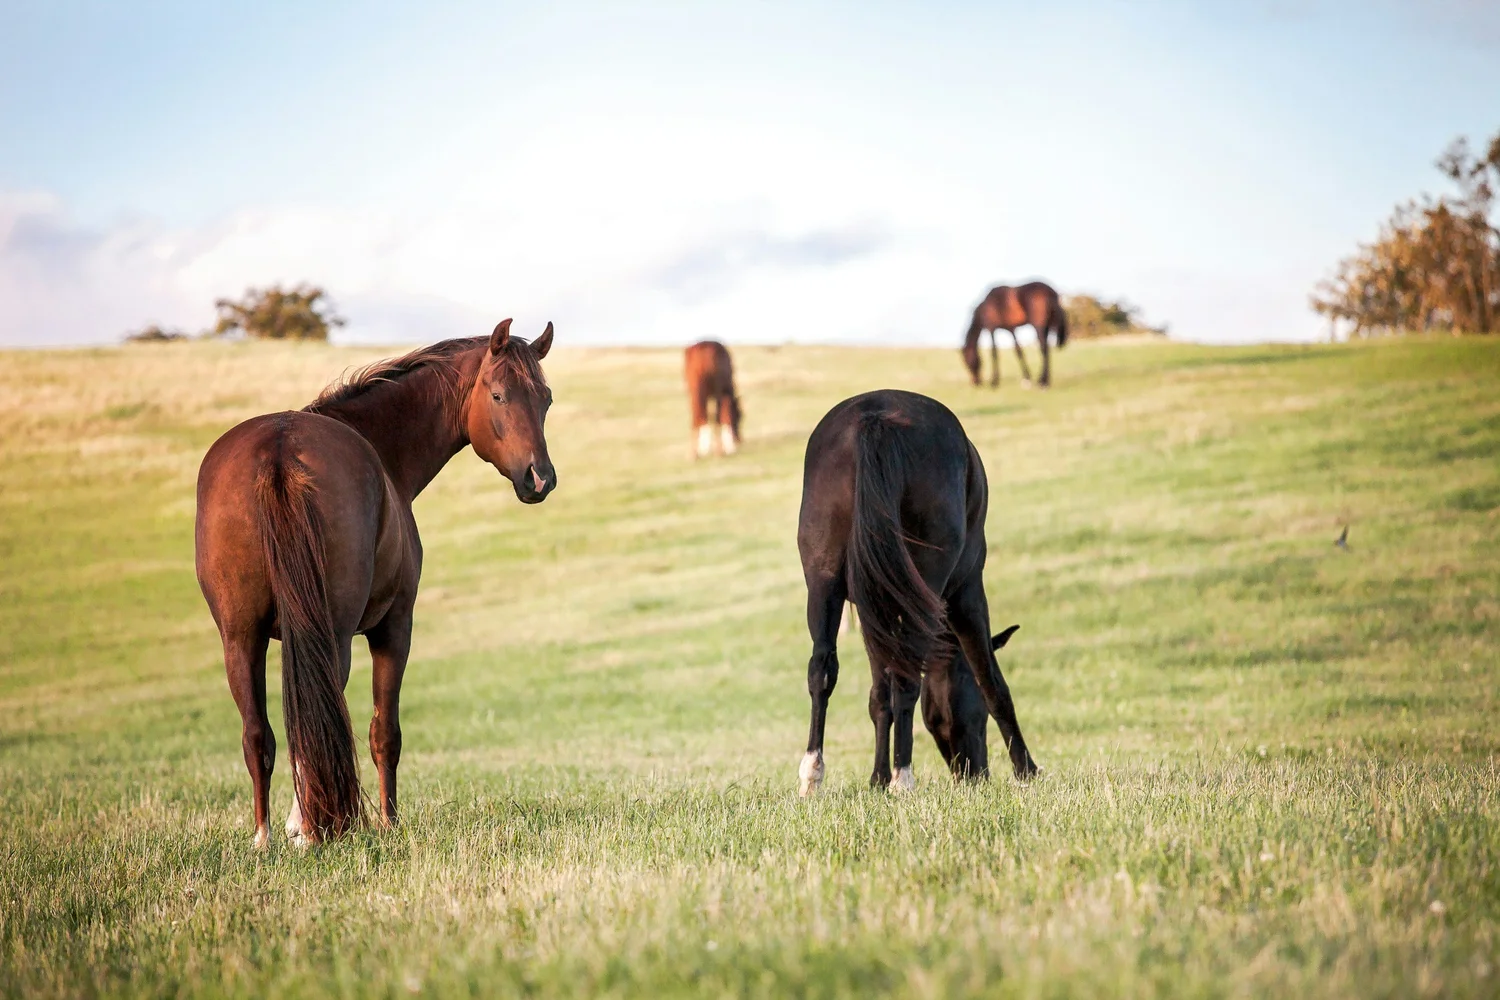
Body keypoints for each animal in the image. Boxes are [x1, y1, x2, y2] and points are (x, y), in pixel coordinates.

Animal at [195, 320, 556, 847]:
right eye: (498, 396)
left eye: (545, 399)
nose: (540, 478)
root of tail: (279, 451)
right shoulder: (394, 627)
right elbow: (385, 733)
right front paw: (387, 822)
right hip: (334, 634)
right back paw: (310, 828)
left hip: (240, 638)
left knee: (258, 733)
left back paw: (266, 836)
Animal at [795, 389, 1038, 795]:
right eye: (978, 715)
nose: (976, 773)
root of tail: (876, 417)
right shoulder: (967, 594)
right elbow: (991, 680)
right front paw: (1026, 770)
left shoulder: (871, 610)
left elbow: (879, 695)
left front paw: (877, 778)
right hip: (932, 585)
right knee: (909, 677)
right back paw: (903, 778)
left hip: (823, 583)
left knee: (822, 669)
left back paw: (813, 775)